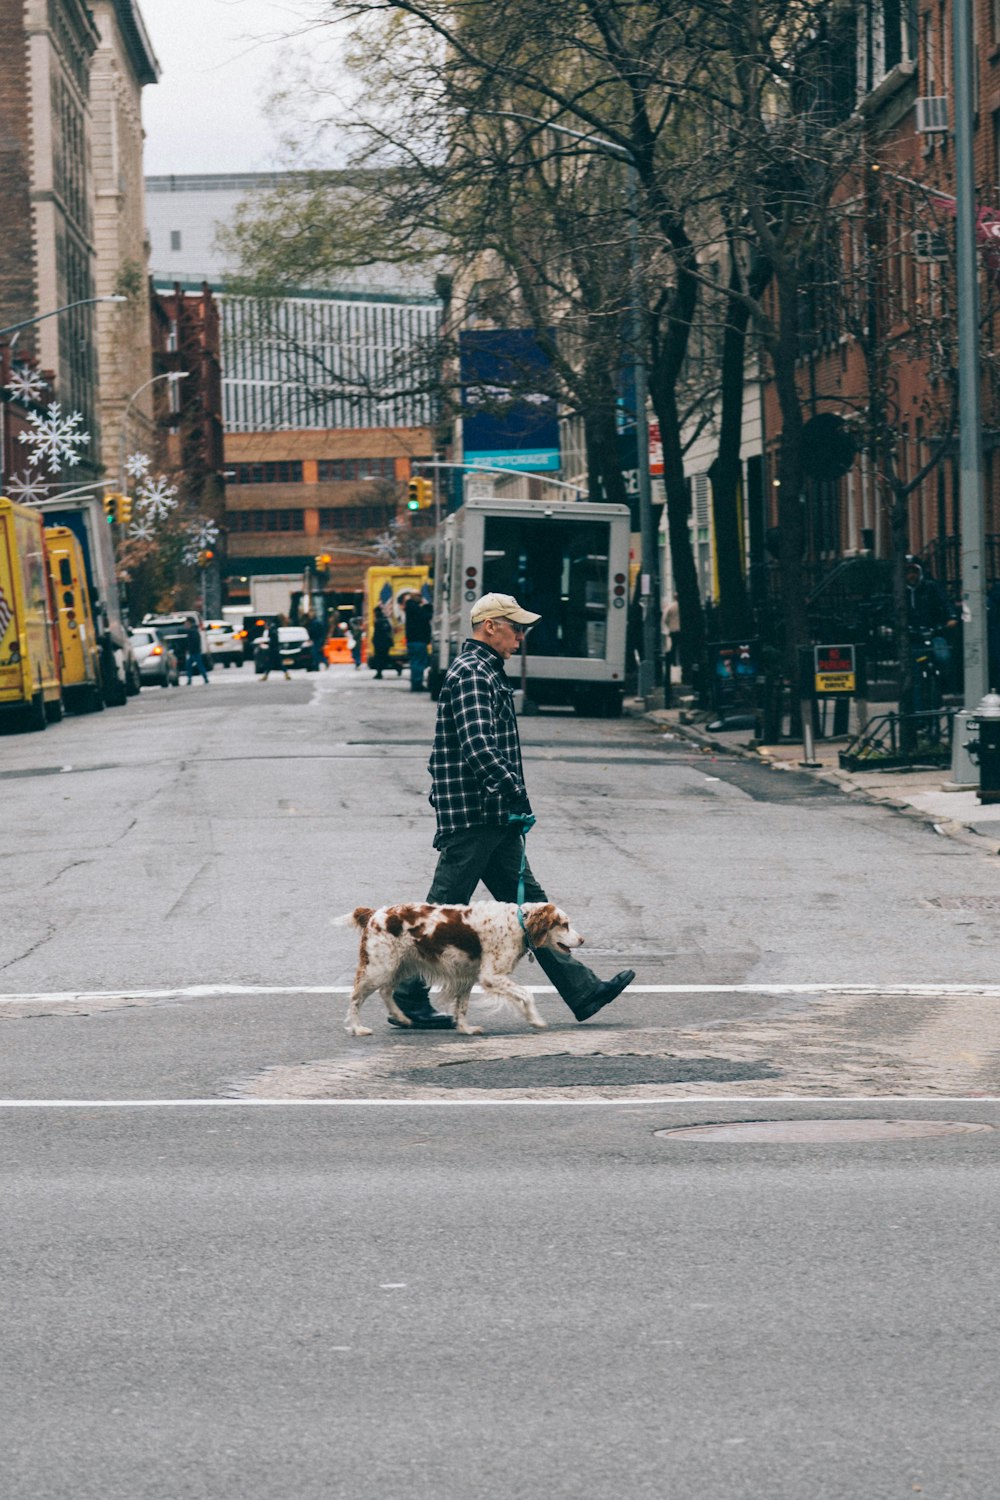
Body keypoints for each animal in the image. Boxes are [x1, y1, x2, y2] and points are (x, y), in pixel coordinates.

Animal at [338, 894, 581, 1038]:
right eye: (565, 924)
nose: (582, 940)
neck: (519, 923)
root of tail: (374, 914)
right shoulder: (490, 976)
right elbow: (527, 995)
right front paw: (535, 1019)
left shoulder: (468, 977)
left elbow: (462, 1006)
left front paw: (465, 1029)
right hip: (380, 968)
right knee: (356, 997)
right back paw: (357, 1028)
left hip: (400, 966)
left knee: (386, 992)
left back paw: (402, 1017)